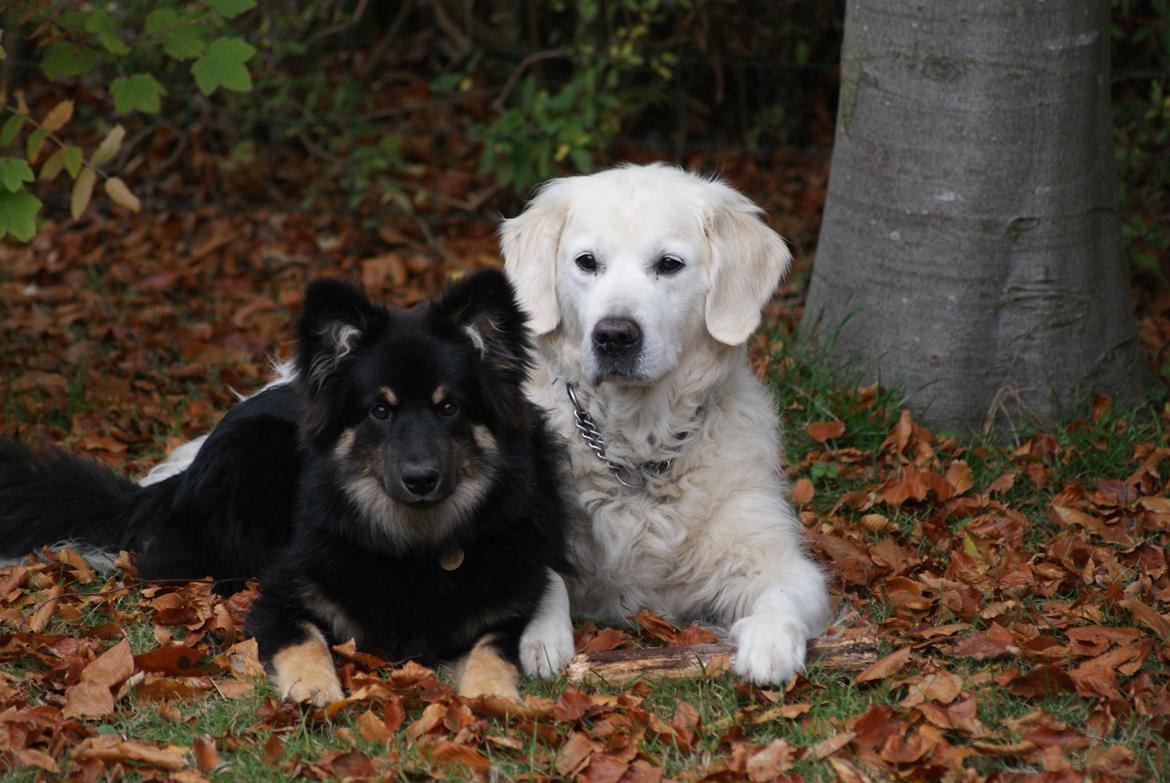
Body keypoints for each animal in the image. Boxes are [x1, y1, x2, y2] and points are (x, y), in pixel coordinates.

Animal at [0, 269, 566, 702]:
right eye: (380, 411)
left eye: (449, 407)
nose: (421, 479)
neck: (416, 545)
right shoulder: (281, 598)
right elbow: (304, 642)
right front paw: (315, 691)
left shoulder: (503, 615)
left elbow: (493, 655)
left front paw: (492, 698)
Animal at [505, 165, 833, 683]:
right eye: (586, 262)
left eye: (669, 264)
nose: (614, 335)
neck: (638, 448)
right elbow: (545, 574)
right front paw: (545, 637)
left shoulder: (773, 554)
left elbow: (784, 594)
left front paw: (769, 644)